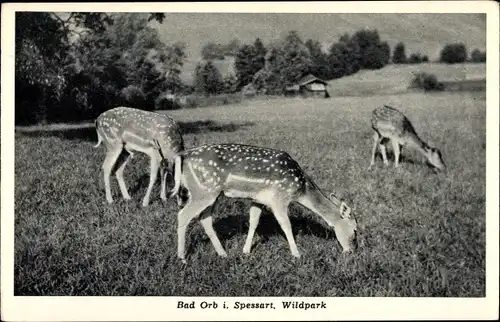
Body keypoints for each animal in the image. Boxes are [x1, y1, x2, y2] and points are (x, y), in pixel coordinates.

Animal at [168, 143, 360, 262]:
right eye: (355, 231)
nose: (352, 251)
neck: (301, 188)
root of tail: (181, 156)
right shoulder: (279, 198)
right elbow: (286, 225)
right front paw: (297, 254)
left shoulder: (258, 199)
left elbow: (253, 222)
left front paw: (246, 251)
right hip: (204, 190)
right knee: (183, 215)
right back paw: (182, 257)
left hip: (211, 194)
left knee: (204, 219)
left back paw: (223, 254)